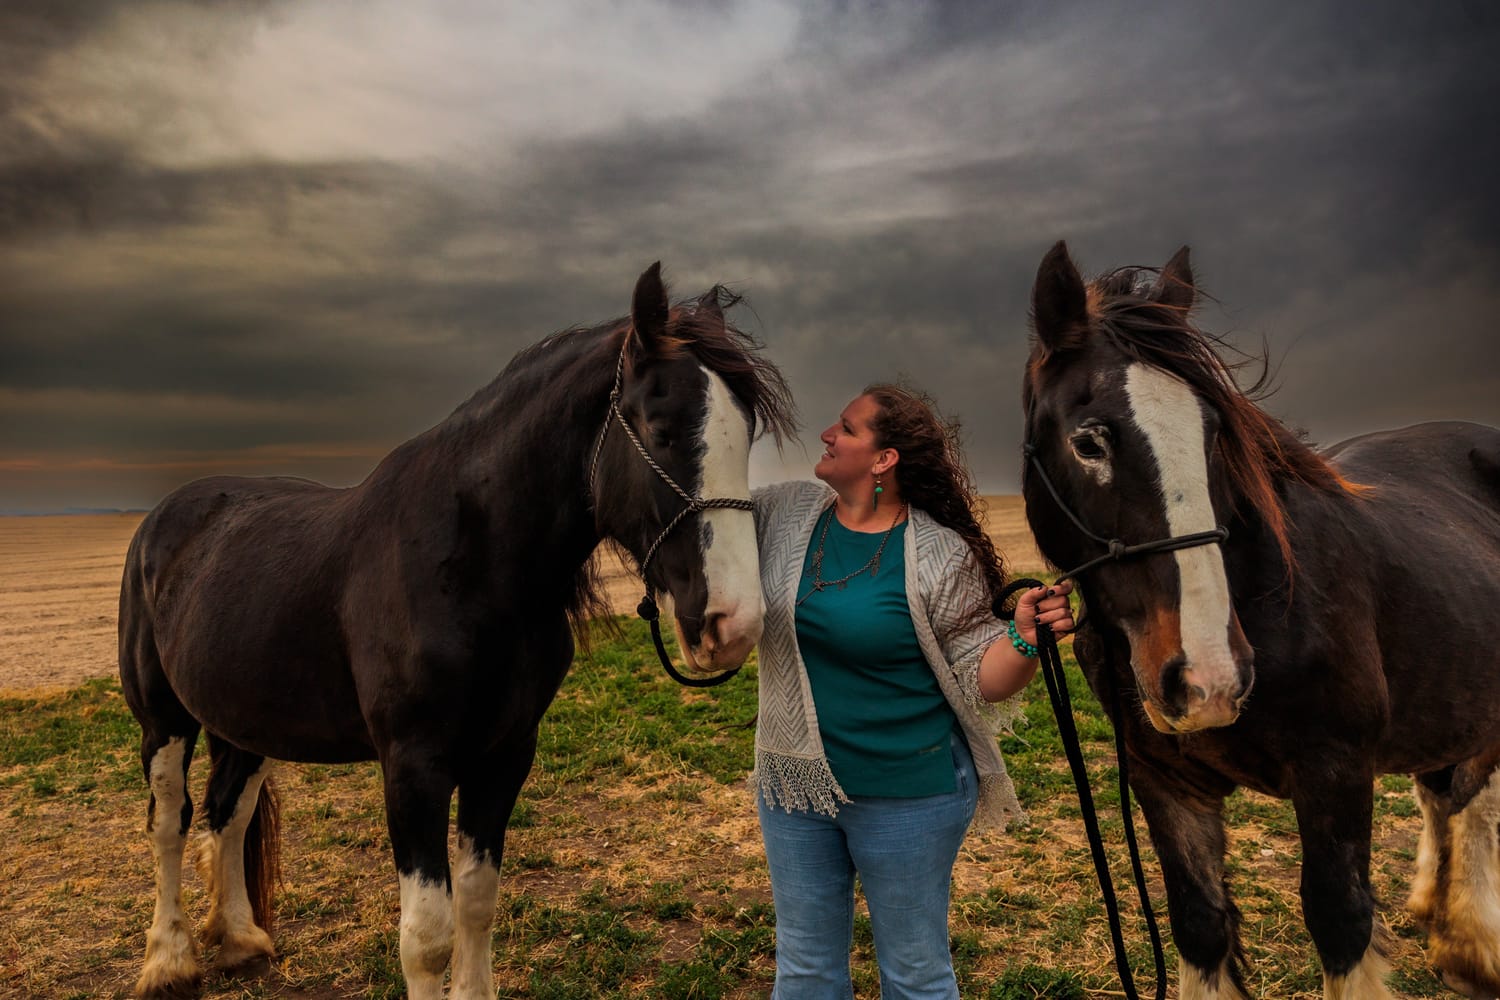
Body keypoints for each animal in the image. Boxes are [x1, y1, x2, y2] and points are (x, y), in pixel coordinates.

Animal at [117, 262, 796, 1000]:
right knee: (169, 823)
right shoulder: (413, 767)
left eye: (745, 433)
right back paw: (167, 960)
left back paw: (239, 938)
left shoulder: (504, 754)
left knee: (227, 813)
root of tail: (166, 518)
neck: (468, 570)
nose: (734, 621)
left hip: (250, 723)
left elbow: (476, 901)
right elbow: (427, 937)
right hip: (164, 721)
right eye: (663, 428)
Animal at [1019, 241, 1500, 1000]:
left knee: (1476, 798)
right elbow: (1199, 922)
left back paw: (1473, 946)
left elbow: (1341, 922)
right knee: (1443, 791)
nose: (1209, 678)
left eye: (1216, 432)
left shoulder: (1336, 773)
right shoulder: (1164, 781)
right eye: (1088, 443)